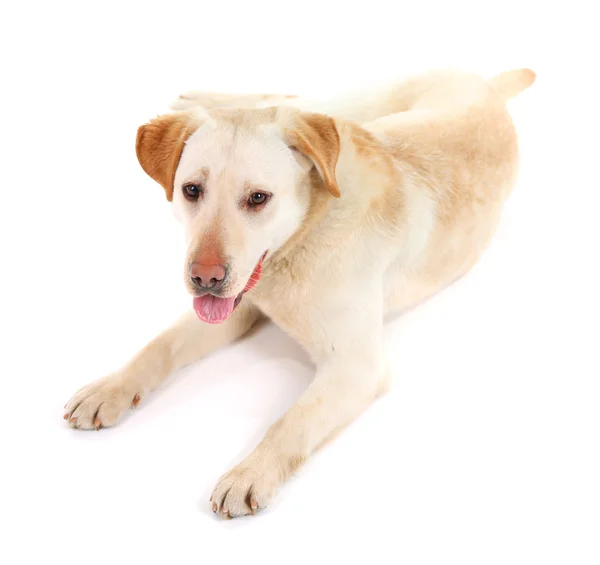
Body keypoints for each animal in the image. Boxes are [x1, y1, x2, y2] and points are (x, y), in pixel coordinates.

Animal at [64, 66, 536, 516]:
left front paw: (251, 472)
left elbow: (291, 421)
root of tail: (486, 86)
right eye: (191, 190)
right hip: (342, 111)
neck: (305, 233)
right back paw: (195, 100)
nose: (205, 277)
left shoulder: (355, 367)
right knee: (283, 96)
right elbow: (158, 346)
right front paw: (109, 389)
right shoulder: (237, 305)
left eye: (258, 198)